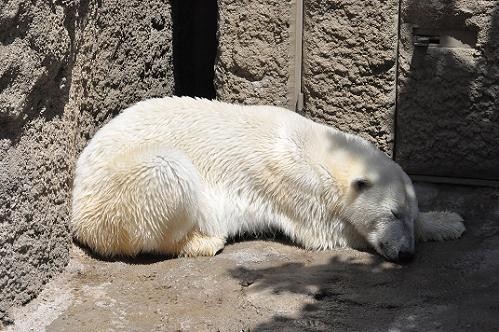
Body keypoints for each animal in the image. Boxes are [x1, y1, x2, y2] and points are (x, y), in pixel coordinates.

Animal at [72, 96, 466, 262]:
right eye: (391, 214)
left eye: (406, 215)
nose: (405, 254)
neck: (320, 147)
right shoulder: (296, 182)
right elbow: (326, 230)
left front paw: (449, 221)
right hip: (115, 193)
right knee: (167, 171)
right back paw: (204, 242)